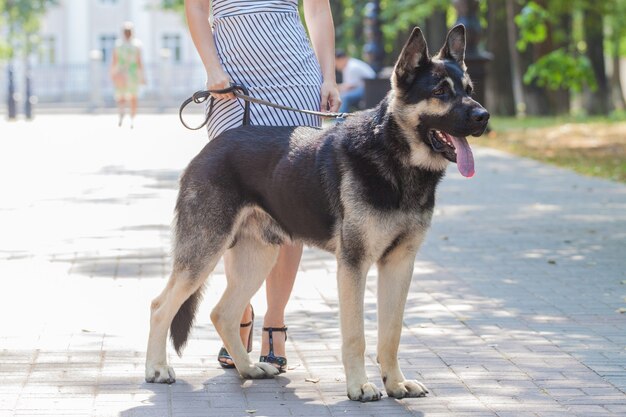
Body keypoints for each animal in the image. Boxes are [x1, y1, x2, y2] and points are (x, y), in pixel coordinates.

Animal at [145, 25, 488, 400]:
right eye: (440, 91)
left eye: (469, 90)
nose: (484, 117)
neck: (393, 155)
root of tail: (211, 148)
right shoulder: (353, 265)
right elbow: (356, 335)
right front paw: (359, 386)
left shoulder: (399, 265)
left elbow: (392, 333)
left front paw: (395, 383)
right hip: (203, 254)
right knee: (160, 306)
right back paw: (157, 369)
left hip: (257, 258)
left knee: (223, 313)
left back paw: (248, 368)